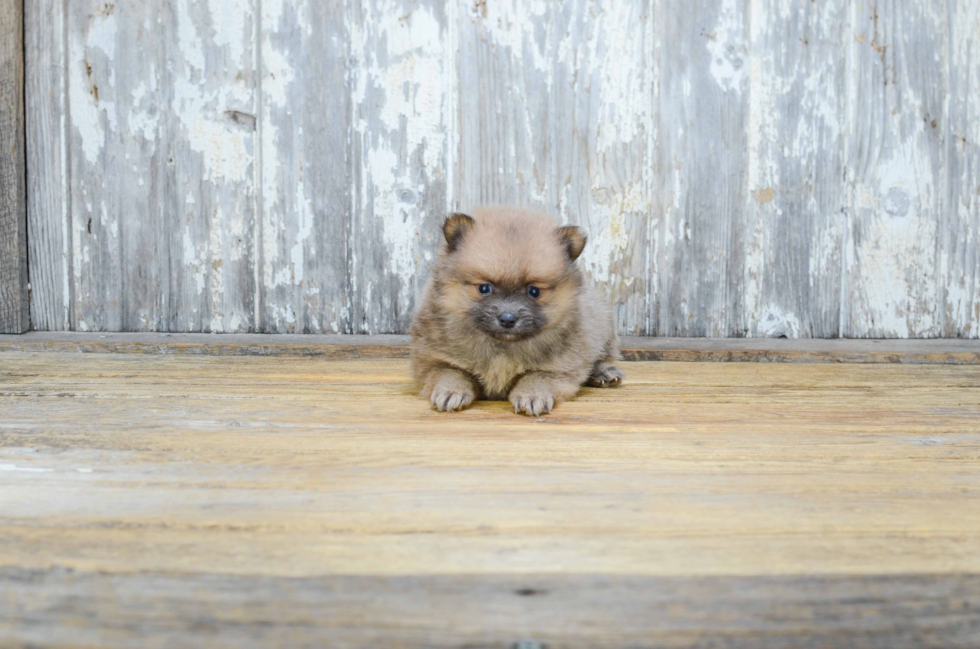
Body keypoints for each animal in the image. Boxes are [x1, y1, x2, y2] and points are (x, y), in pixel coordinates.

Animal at [410, 205, 624, 416]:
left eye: (534, 291)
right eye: (484, 288)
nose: (507, 319)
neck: (503, 347)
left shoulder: (561, 367)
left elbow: (537, 376)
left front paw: (532, 395)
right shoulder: (432, 359)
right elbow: (452, 372)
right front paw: (451, 391)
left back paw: (603, 372)